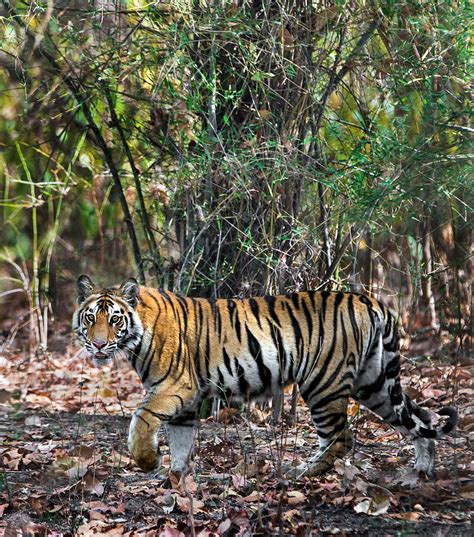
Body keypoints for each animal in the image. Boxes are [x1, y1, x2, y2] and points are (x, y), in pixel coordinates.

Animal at [72, 276, 458, 478]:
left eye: (115, 319)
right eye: (90, 318)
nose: (99, 344)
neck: (136, 338)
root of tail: (370, 301)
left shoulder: (175, 385)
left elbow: (141, 418)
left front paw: (147, 460)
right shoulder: (186, 401)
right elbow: (181, 442)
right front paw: (176, 480)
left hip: (323, 384)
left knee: (341, 438)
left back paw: (301, 473)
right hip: (374, 384)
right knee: (420, 419)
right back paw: (420, 473)